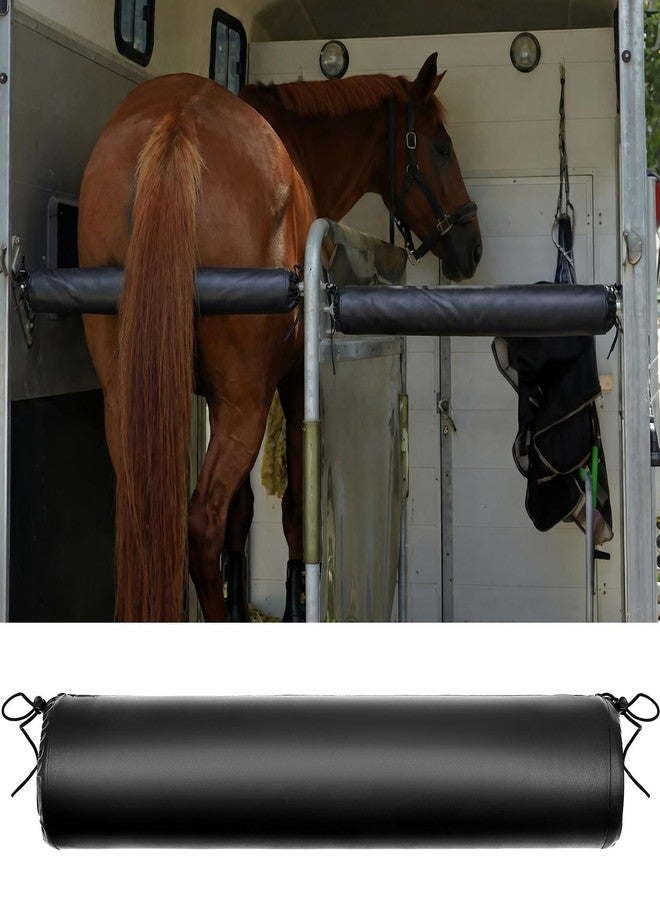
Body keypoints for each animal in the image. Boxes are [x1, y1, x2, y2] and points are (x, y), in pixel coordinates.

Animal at [78, 53, 481, 621]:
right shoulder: (288, 384)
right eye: (441, 146)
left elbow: (243, 513)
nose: (473, 246)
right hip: (244, 404)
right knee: (201, 524)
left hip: (127, 400)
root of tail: (177, 124)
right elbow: (292, 510)